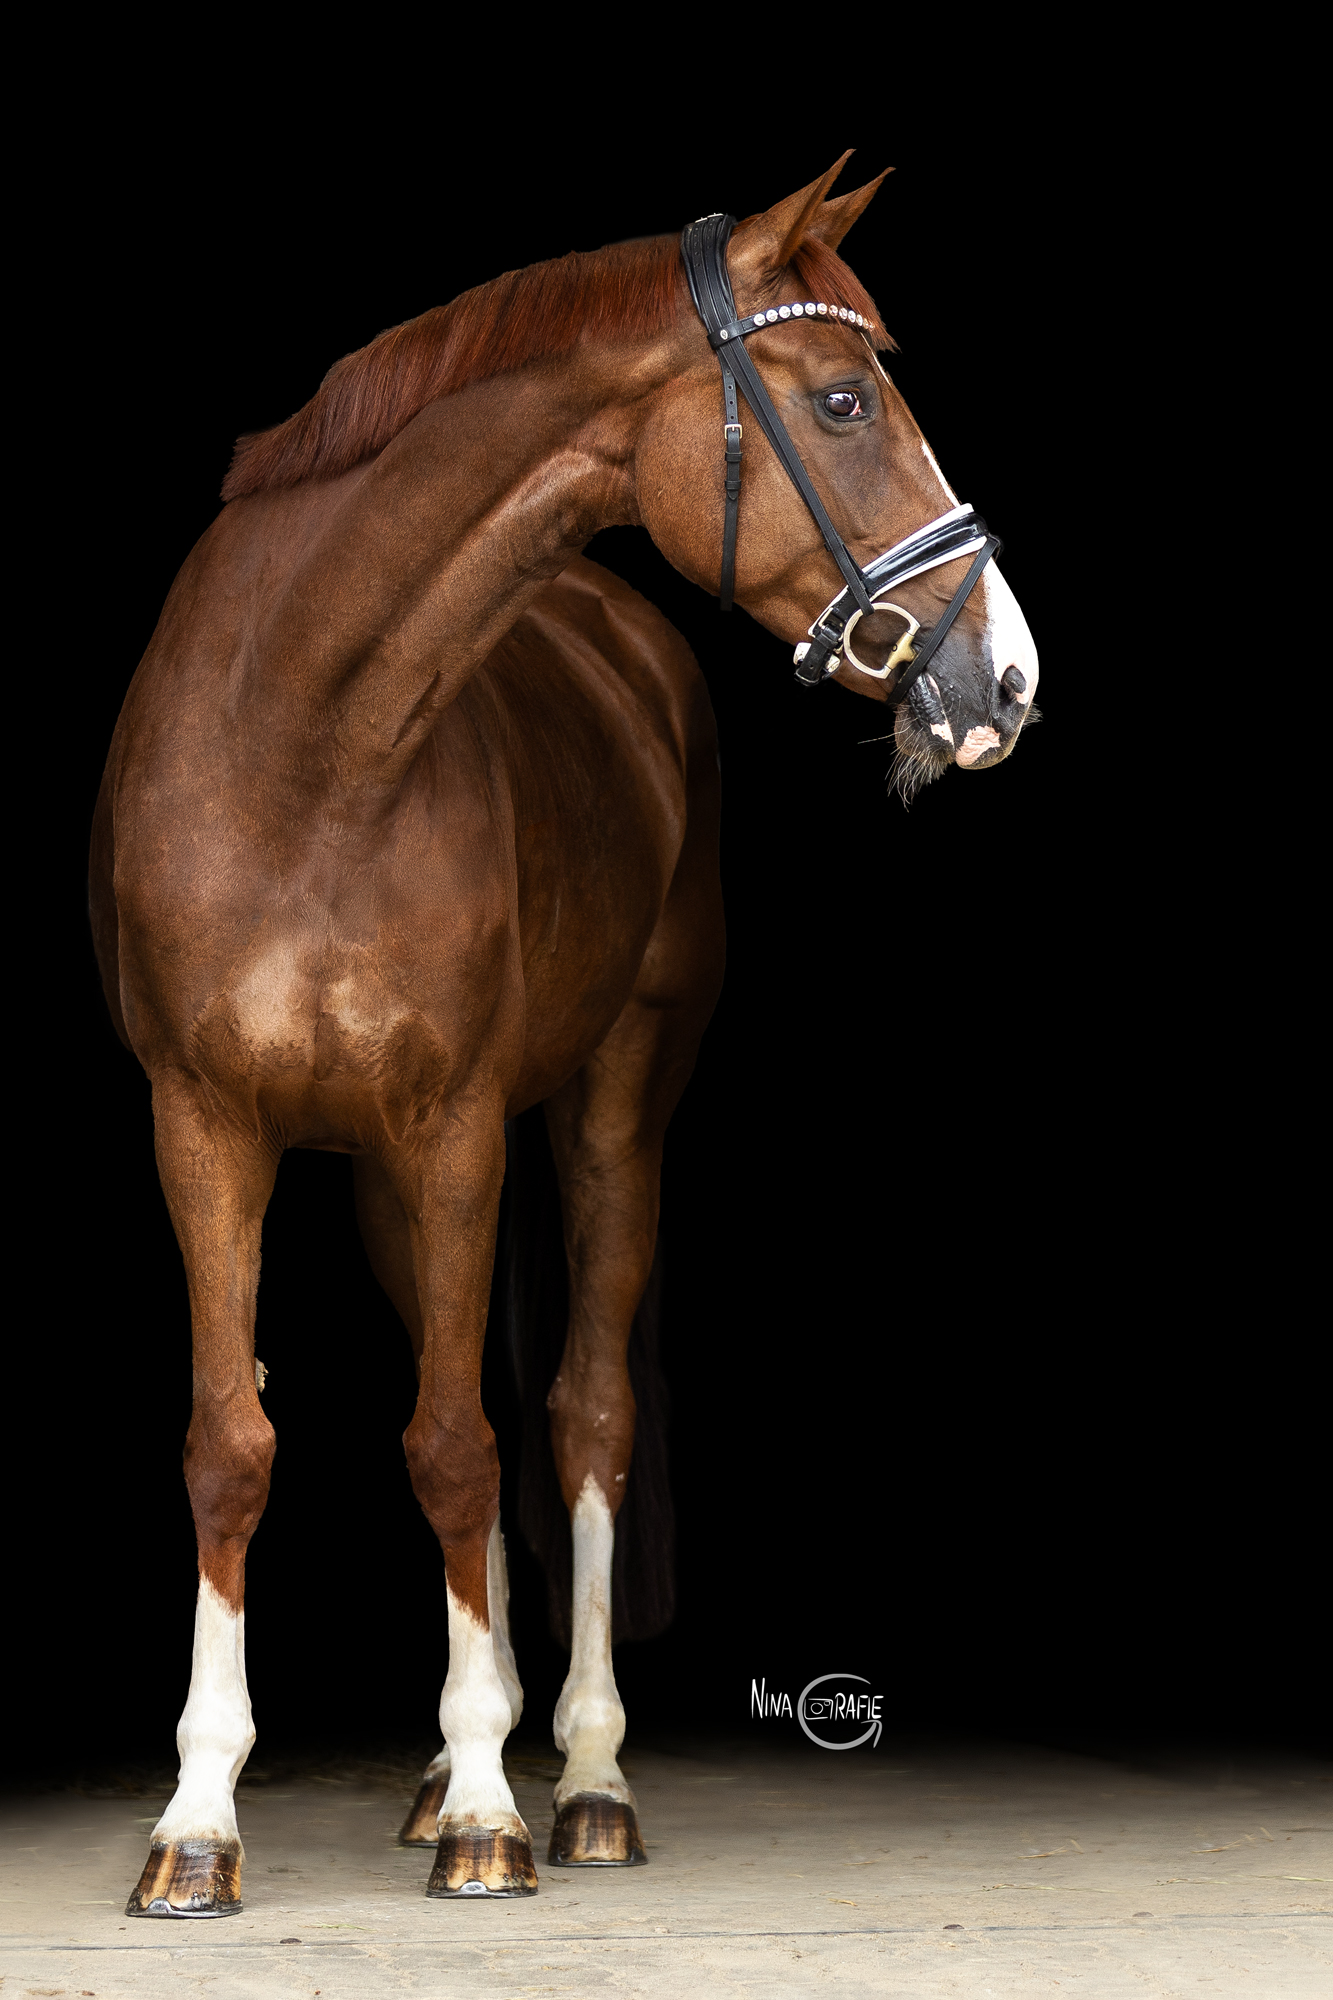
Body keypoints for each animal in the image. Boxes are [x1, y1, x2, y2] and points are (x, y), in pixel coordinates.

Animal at [90, 154, 1039, 1914]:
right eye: (844, 398)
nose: (1004, 677)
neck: (302, 746)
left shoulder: (459, 1122)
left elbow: (465, 1446)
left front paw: (490, 1810)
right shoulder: (207, 1126)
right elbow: (236, 1444)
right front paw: (197, 1823)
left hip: (609, 1107)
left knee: (581, 1410)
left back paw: (583, 1778)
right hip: (385, 1187)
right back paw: (437, 1771)